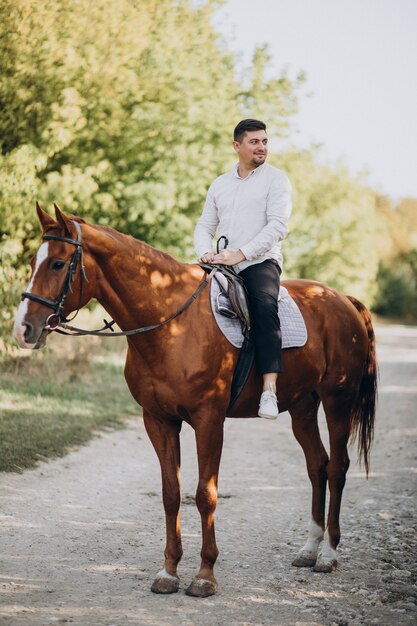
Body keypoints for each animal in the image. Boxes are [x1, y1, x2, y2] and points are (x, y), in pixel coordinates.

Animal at [13, 204, 376, 596]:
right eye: (34, 260)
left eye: (58, 264)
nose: (23, 329)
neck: (172, 324)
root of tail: (342, 300)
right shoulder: (158, 421)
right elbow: (171, 493)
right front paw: (169, 571)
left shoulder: (208, 421)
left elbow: (206, 494)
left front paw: (204, 575)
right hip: (302, 407)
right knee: (317, 466)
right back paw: (309, 549)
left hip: (337, 400)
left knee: (337, 467)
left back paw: (328, 554)